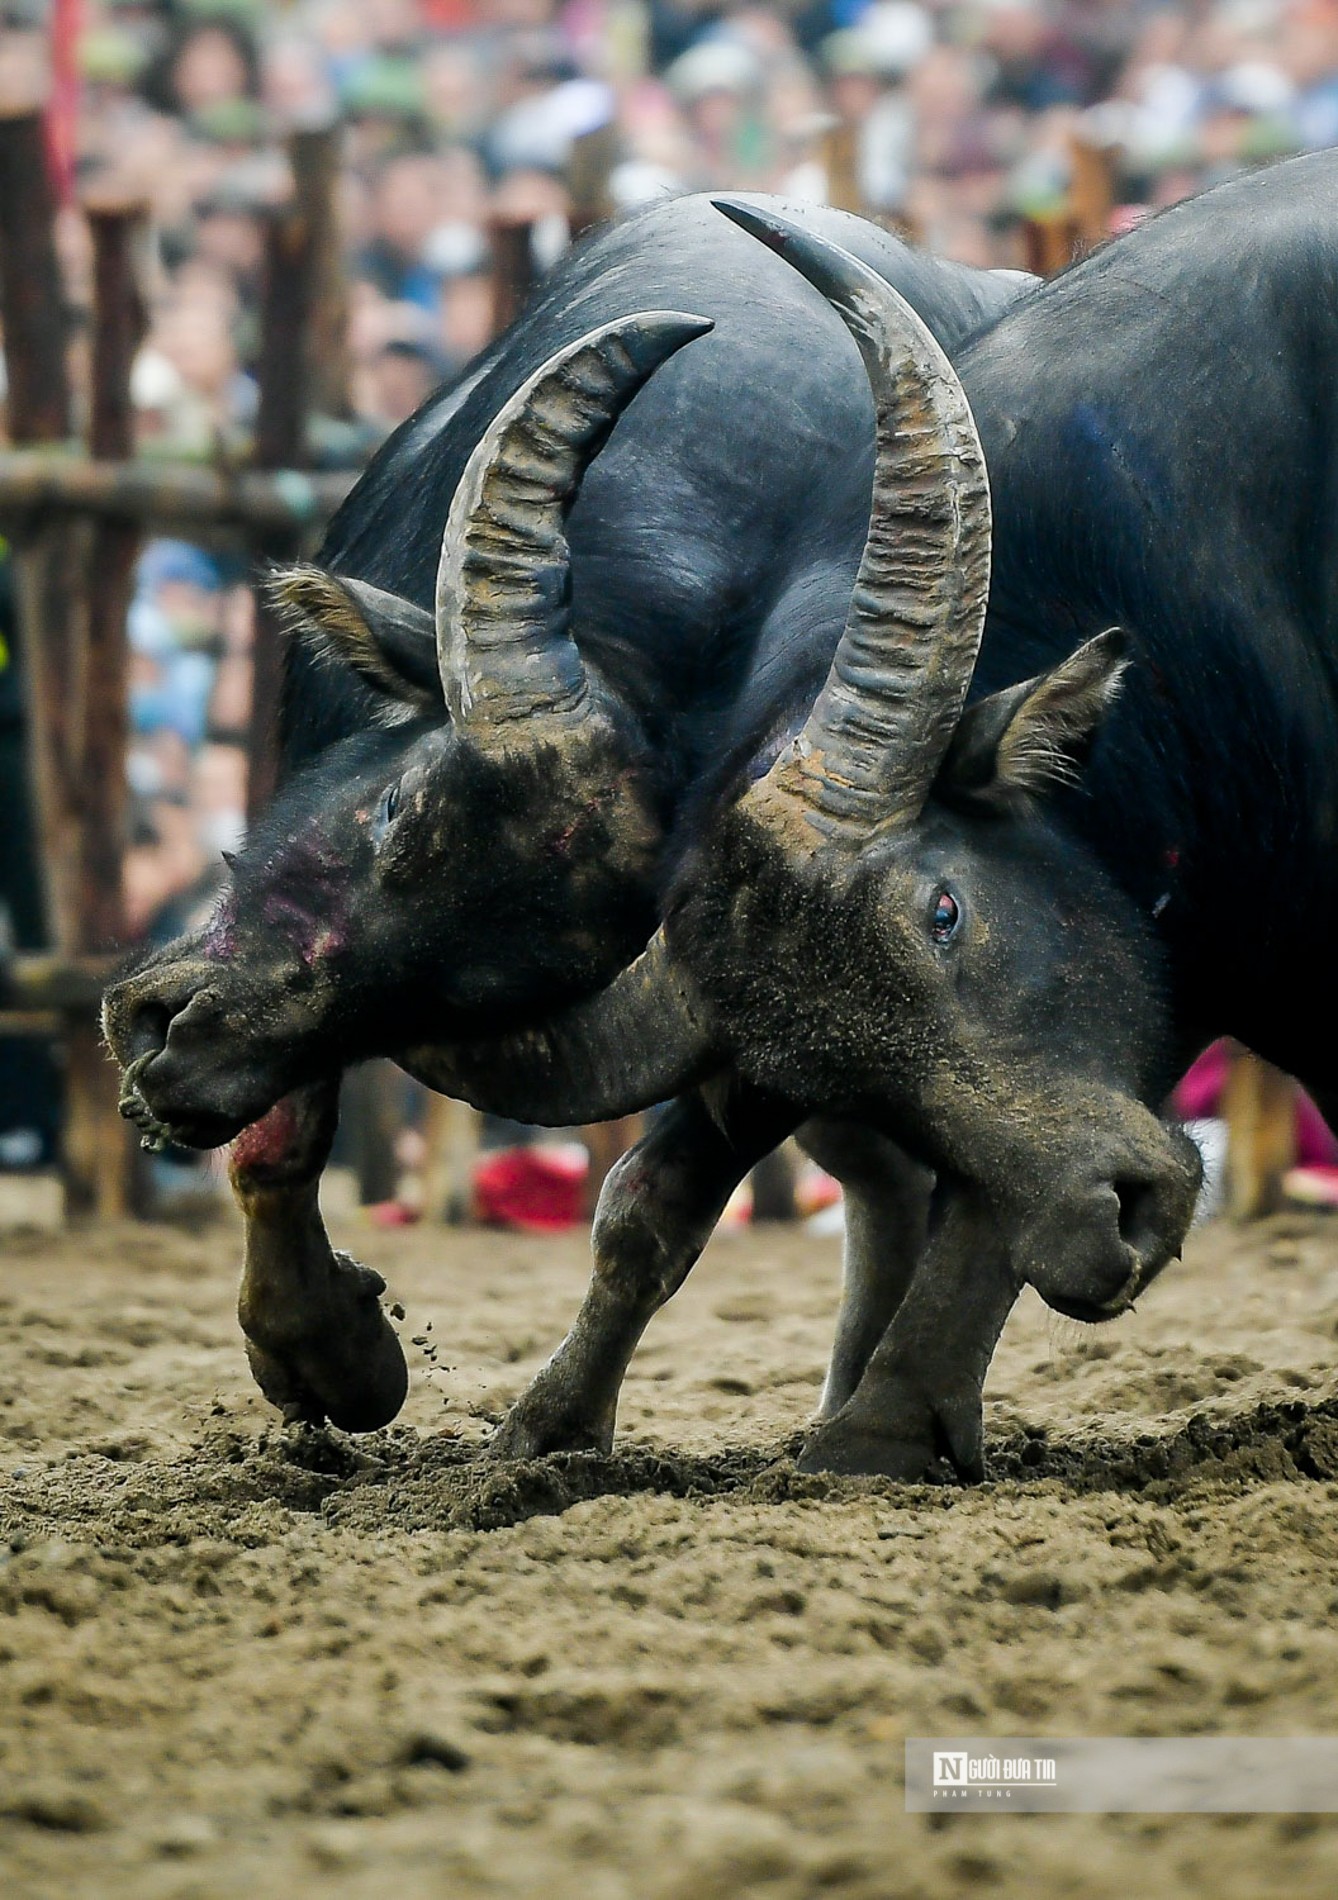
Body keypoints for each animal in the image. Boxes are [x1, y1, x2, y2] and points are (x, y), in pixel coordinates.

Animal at [104, 196, 1026, 1436]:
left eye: (485, 987)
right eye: (394, 807)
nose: (172, 1040)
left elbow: (654, 1207)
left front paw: (521, 1414)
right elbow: (286, 1119)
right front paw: (323, 1352)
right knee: (882, 1171)